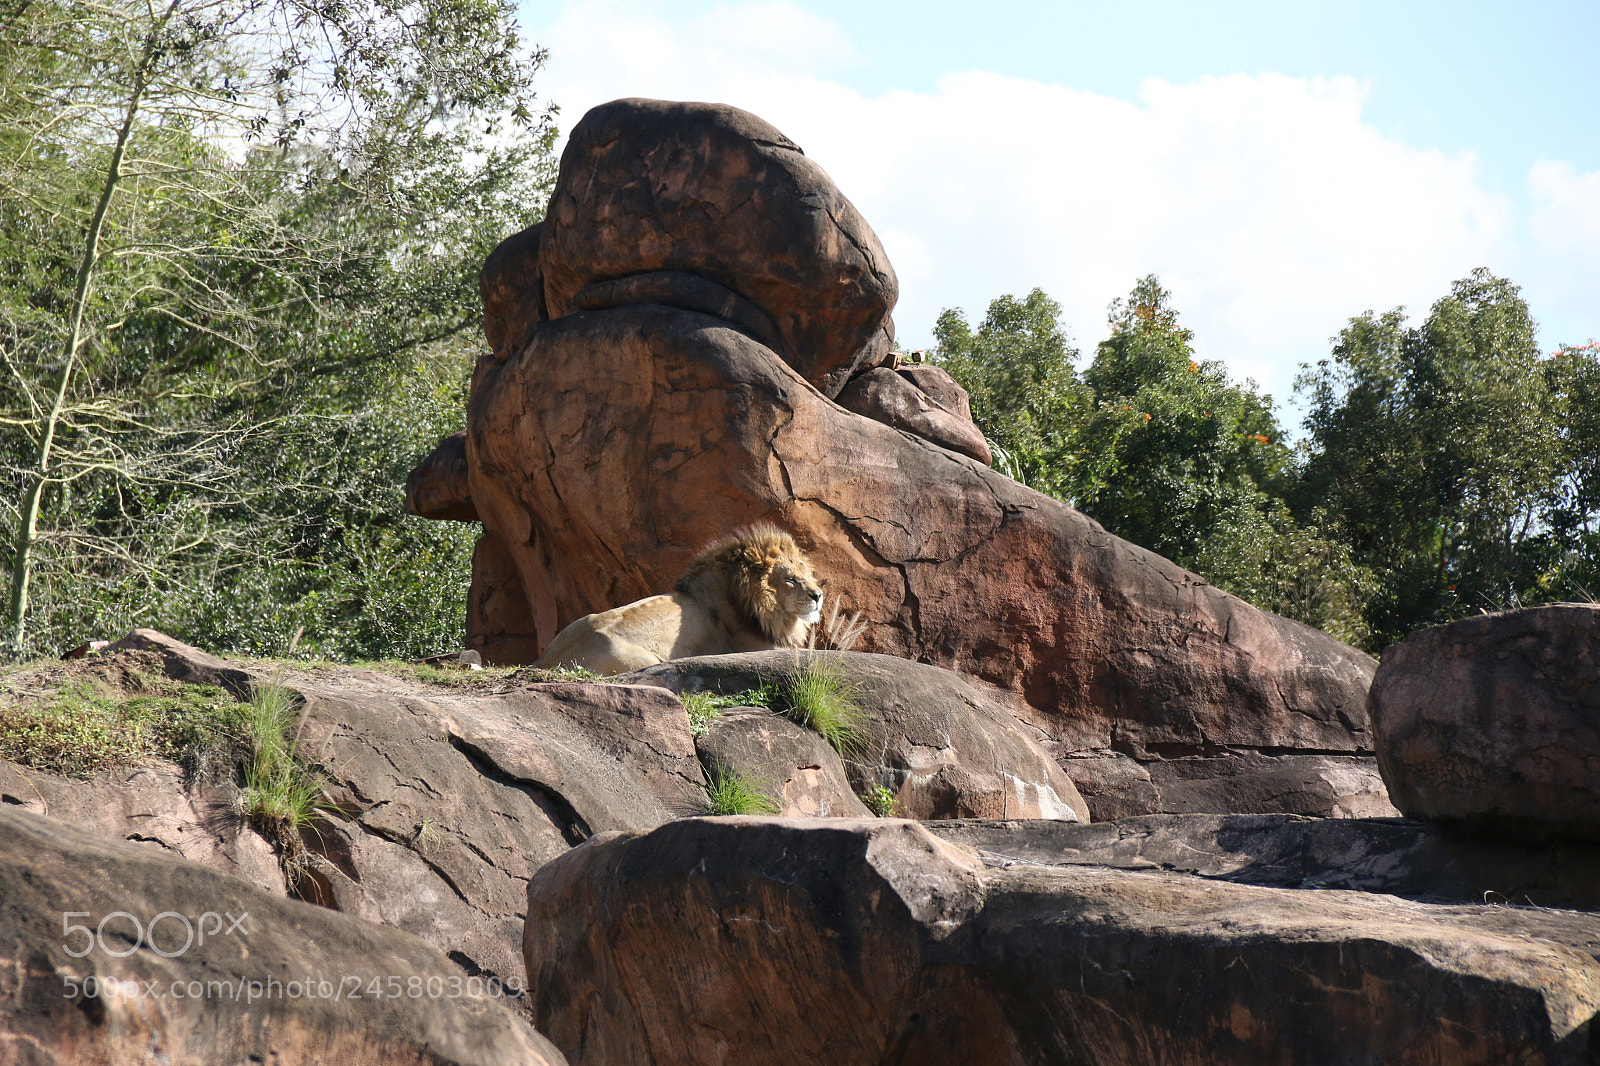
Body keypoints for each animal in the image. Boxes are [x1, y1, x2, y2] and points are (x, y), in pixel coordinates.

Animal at [531, 525, 824, 675]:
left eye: (805, 572)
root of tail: (545, 661)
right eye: (790, 579)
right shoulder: (757, 648)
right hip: (645, 660)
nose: (818, 595)